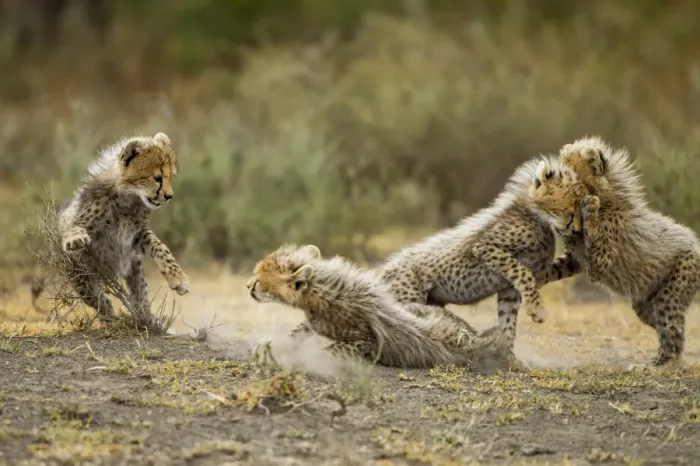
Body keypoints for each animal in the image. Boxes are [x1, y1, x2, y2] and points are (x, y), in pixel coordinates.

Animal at [58, 132, 190, 322]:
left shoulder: (136, 234)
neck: (128, 197)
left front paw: (177, 278)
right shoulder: (84, 221)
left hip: (134, 265)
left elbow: (160, 247)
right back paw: (110, 318)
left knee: (139, 296)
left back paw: (148, 319)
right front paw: (75, 239)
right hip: (80, 275)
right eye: (157, 177)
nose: (169, 196)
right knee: (98, 299)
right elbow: (75, 229)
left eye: (171, 177)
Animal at [246, 244, 512, 371]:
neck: (321, 289)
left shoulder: (366, 341)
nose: (248, 286)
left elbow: (329, 350)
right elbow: (297, 333)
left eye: (258, 279)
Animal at [528, 135, 700, 366]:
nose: (546, 174)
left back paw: (659, 365)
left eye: (565, 174)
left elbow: (590, 239)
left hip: (675, 286)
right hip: (646, 305)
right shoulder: (577, 259)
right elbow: (559, 265)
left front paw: (587, 213)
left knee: (671, 326)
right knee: (667, 326)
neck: (607, 202)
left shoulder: (599, 262)